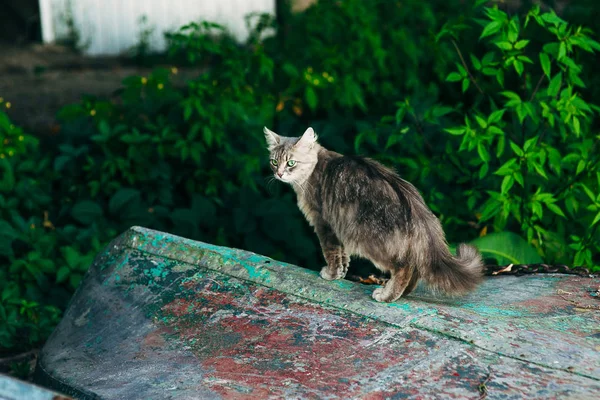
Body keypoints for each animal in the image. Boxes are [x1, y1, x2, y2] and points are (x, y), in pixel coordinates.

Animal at [264, 126, 486, 302]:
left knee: (405, 268)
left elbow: (331, 253)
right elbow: (342, 256)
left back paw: (387, 295)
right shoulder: (337, 226)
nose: (279, 174)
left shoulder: (323, 223)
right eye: (274, 162)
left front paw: (331, 274)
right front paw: (341, 273)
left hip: (370, 240)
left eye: (291, 163)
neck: (311, 172)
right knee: (415, 271)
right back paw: (401, 294)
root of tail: (417, 210)